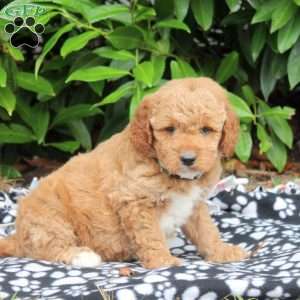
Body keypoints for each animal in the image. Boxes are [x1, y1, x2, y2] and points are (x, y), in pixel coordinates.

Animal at [0, 77, 248, 268]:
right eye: (169, 130)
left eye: (206, 130)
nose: (188, 159)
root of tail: (17, 234)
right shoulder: (135, 201)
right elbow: (150, 235)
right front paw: (163, 261)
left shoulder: (194, 204)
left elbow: (206, 230)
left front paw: (221, 251)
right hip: (49, 218)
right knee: (47, 248)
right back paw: (82, 256)